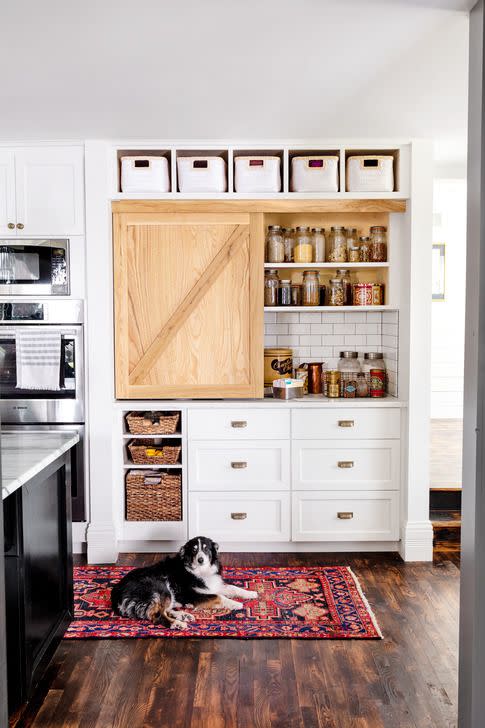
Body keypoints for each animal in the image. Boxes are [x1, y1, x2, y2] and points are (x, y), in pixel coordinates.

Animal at [111, 536, 260, 632]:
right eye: (194, 550)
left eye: (206, 549)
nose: (200, 560)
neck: (199, 570)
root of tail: (117, 592)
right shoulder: (191, 594)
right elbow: (218, 596)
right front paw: (236, 604)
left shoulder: (212, 585)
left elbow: (233, 587)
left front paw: (251, 593)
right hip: (160, 587)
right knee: (157, 614)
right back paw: (177, 624)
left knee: (163, 609)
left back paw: (183, 615)